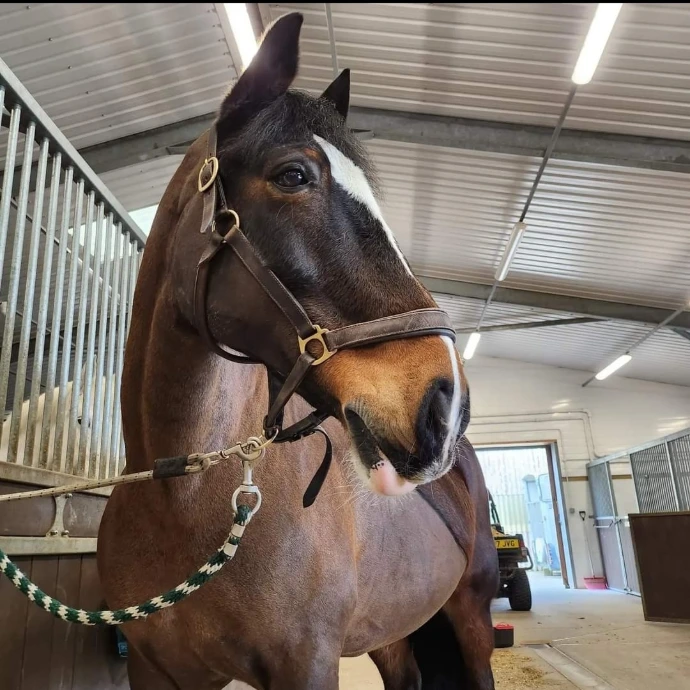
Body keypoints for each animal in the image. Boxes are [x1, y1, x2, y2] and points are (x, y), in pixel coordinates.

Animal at [98, 12, 498, 690]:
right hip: (393, 634)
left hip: (472, 616)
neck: (183, 501)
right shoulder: (156, 671)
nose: (446, 406)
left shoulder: (305, 664)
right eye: (293, 175)